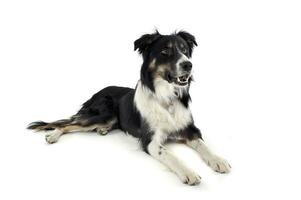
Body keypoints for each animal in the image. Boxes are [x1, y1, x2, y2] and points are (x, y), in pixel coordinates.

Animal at [27, 30, 230, 185]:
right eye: (165, 51)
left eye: (185, 50)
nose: (188, 64)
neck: (167, 98)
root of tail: (97, 92)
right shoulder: (150, 141)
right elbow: (171, 155)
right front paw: (188, 172)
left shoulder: (190, 128)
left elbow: (204, 146)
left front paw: (218, 160)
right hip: (103, 114)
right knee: (67, 124)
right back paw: (53, 135)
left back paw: (102, 130)